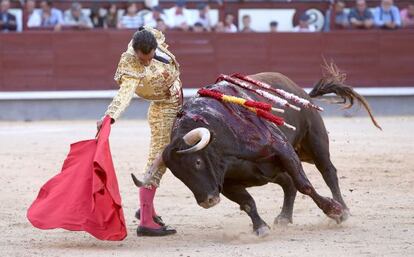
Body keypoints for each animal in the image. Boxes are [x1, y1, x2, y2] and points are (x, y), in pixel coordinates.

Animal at [137, 66, 380, 236]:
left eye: (196, 162)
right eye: (179, 175)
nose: (208, 201)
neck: (221, 136)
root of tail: (300, 92)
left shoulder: (282, 148)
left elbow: (305, 185)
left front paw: (334, 211)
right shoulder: (226, 182)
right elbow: (247, 202)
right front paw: (260, 228)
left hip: (315, 142)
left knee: (328, 172)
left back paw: (343, 208)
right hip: (270, 172)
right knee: (288, 184)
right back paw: (284, 217)